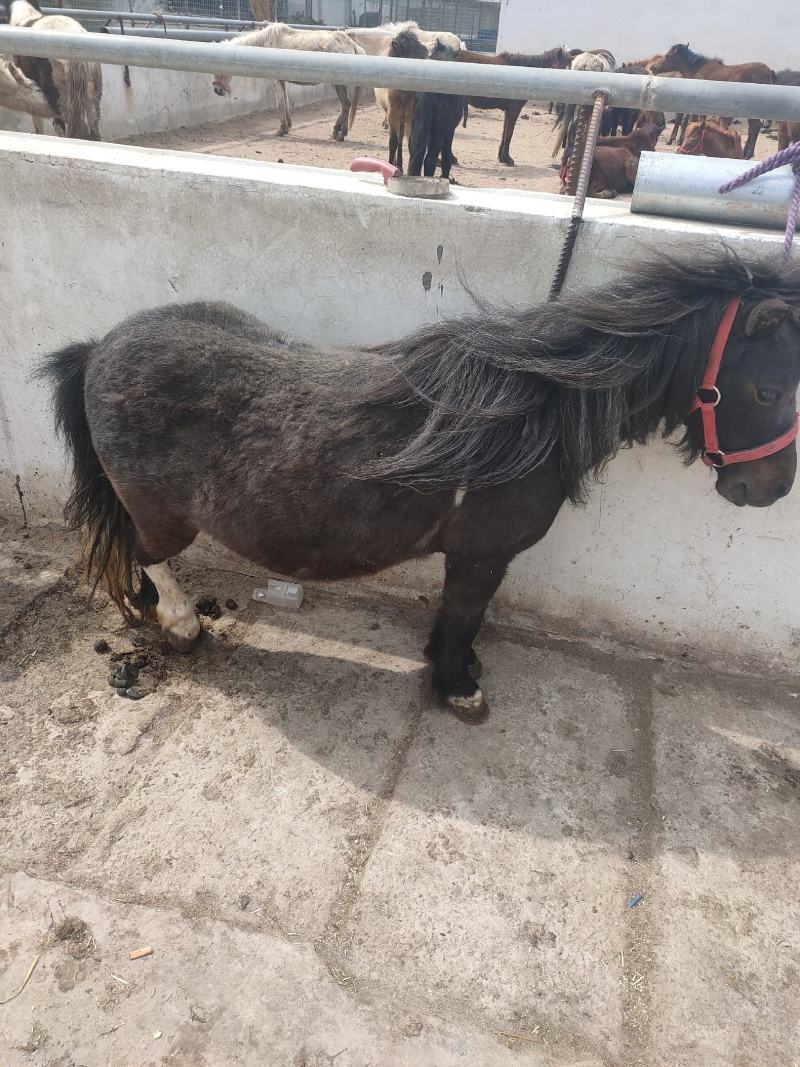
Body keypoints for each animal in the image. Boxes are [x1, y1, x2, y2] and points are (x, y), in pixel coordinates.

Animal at [40, 254, 800, 723]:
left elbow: (458, 615)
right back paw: (180, 624)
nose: (768, 488)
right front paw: (460, 687)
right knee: (147, 554)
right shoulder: (483, 553)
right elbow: (465, 612)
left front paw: (451, 665)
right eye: (769, 389)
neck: (529, 411)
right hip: (161, 514)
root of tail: (98, 348)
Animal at [212, 23, 363, 142]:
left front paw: (281, 130)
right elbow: (286, 102)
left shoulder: (276, 80)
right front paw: (287, 127)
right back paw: (338, 133)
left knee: (345, 104)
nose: (217, 91)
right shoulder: (282, 80)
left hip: (337, 84)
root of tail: (352, 44)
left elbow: (280, 104)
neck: (265, 44)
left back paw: (339, 134)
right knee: (346, 105)